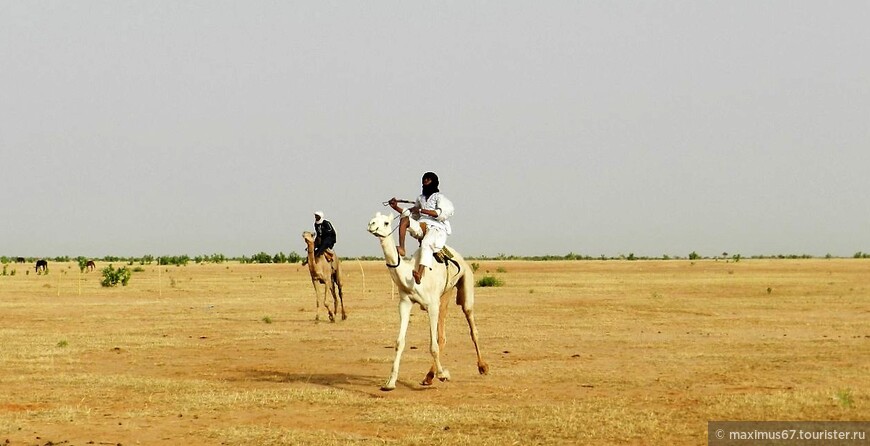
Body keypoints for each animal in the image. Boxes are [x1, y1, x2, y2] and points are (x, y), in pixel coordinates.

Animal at [368, 213, 490, 390]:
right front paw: (390, 382)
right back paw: (429, 376)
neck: (410, 276)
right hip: (445, 294)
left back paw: (482, 366)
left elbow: (433, 345)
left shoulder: (431, 306)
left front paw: (443, 375)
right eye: (373, 218)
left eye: (385, 222)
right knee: (443, 336)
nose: (371, 225)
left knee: (471, 325)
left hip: (466, 281)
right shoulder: (405, 303)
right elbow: (400, 342)